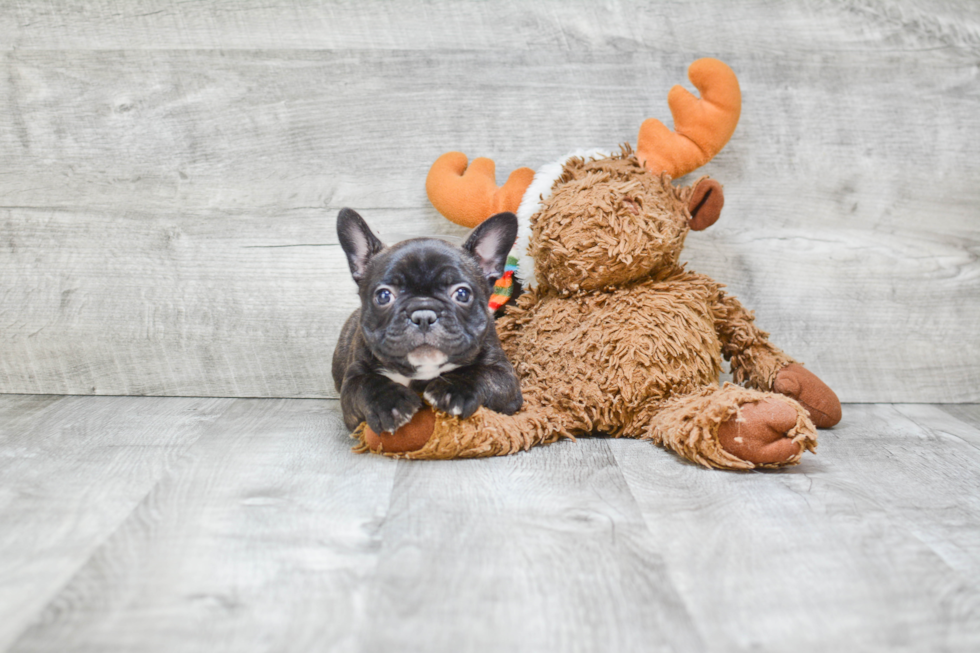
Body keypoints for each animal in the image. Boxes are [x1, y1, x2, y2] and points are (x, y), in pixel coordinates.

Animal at [334, 208, 524, 432]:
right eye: (383, 296)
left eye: (462, 294)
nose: (423, 315)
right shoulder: (351, 386)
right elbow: (367, 383)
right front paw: (390, 403)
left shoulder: (505, 377)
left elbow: (480, 373)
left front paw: (453, 389)